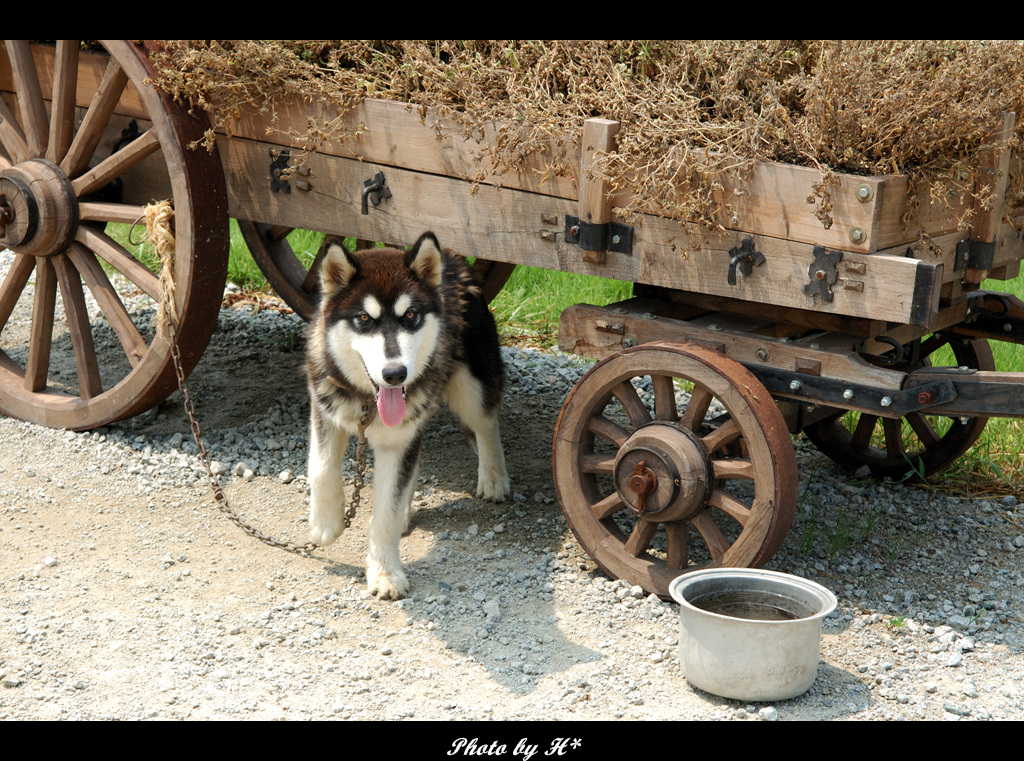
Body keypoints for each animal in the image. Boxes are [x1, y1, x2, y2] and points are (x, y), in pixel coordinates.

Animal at [303, 232, 512, 602]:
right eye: (364, 319)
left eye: (411, 314)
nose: (395, 373)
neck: (368, 402)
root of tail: (452, 257)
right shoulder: (324, 406)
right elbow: (322, 467)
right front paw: (325, 524)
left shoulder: (400, 437)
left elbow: (385, 513)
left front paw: (385, 573)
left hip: (471, 384)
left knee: (485, 421)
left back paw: (493, 476)